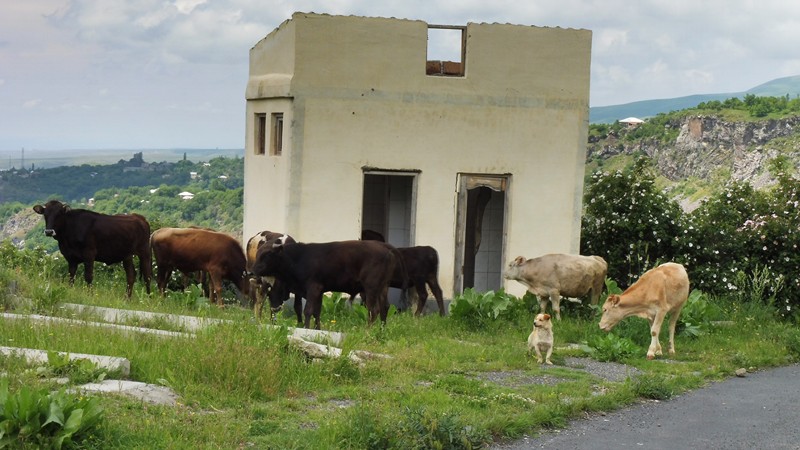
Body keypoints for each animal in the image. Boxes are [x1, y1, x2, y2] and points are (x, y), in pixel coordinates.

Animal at [250, 241, 400, 328]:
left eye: (267, 254)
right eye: (257, 254)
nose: (253, 271)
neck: (298, 258)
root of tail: (388, 251)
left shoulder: (313, 288)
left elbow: (308, 310)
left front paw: (306, 328)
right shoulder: (320, 291)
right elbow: (317, 312)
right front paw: (317, 329)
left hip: (371, 288)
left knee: (373, 310)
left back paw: (367, 331)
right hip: (383, 287)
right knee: (385, 307)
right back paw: (381, 331)